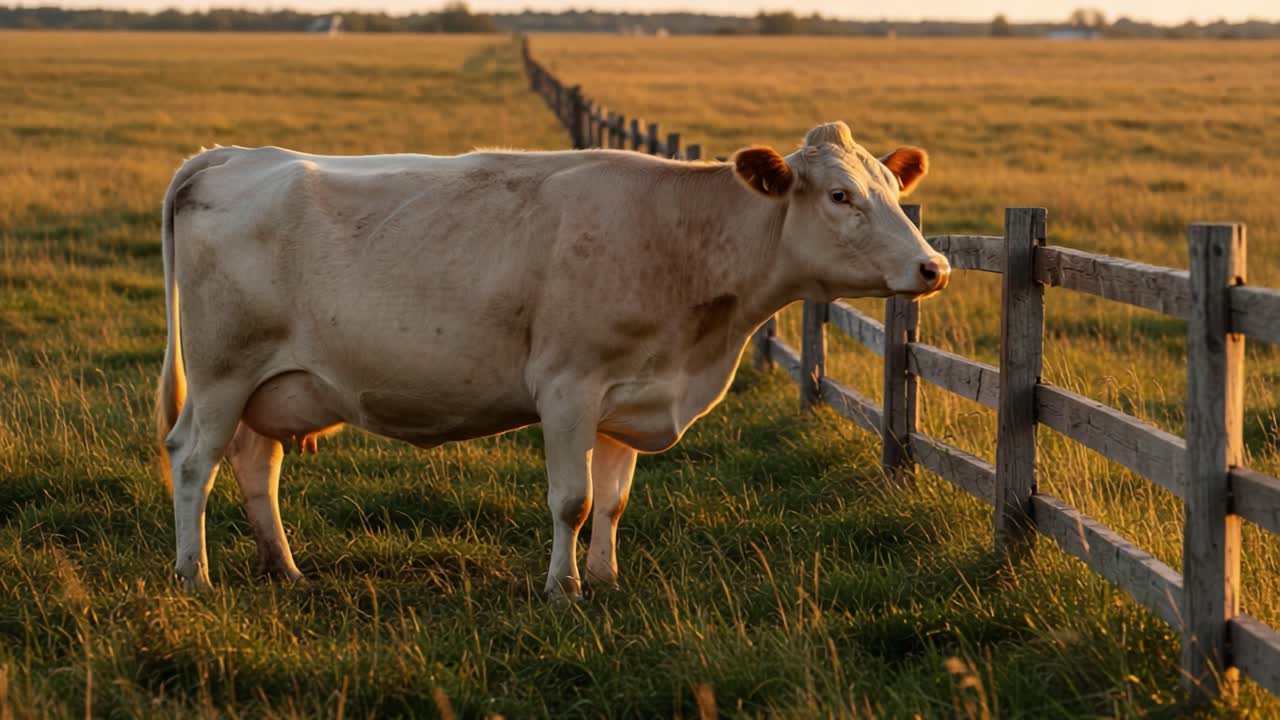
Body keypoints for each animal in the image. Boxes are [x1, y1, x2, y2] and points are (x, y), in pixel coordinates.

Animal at [155, 120, 950, 600]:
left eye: (894, 189)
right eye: (841, 195)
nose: (933, 266)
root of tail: (231, 155)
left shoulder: (631, 393)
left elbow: (615, 499)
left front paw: (604, 580)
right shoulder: (569, 386)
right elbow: (573, 499)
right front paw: (562, 591)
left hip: (272, 382)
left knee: (256, 464)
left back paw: (283, 568)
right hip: (222, 374)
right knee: (194, 459)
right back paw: (194, 576)